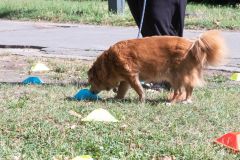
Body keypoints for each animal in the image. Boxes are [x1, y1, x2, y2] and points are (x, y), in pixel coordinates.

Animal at [87, 30, 227, 104]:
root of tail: (192, 45)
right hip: (185, 76)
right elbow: (122, 90)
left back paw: (170, 103)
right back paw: (186, 101)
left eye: (91, 81)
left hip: (175, 76)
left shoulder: (131, 75)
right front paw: (116, 98)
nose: (90, 92)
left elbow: (138, 89)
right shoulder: (126, 79)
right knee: (189, 89)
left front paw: (141, 100)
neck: (109, 62)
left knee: (179, 91)